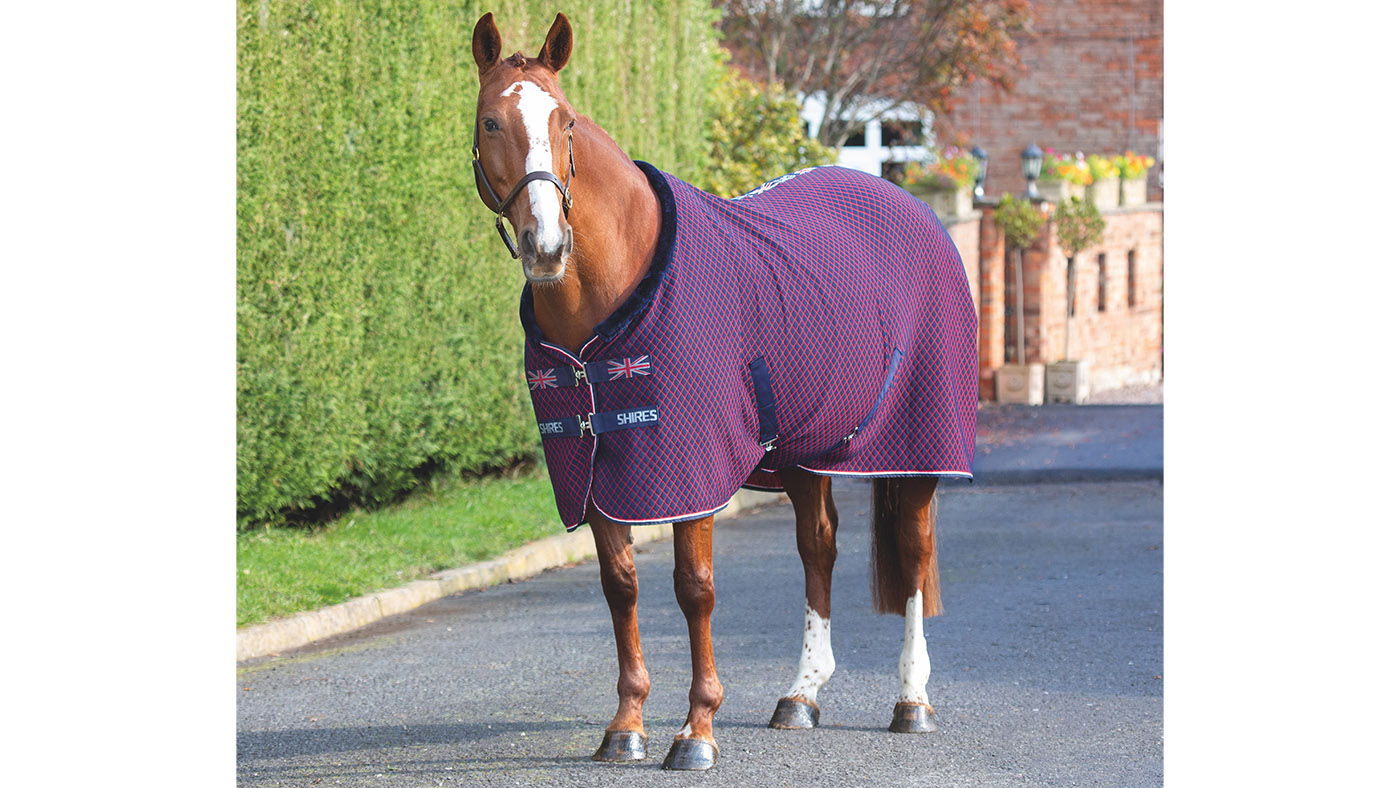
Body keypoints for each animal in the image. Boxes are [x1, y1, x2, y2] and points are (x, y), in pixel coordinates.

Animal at [470, 12, 978, 771]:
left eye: (565, 121)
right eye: (491, 121)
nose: (547, 244)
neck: (614, 297)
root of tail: (906, 202)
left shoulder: (689, 469)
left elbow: (694, 590)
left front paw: (696, 730)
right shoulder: (595, 470)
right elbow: (620, 587)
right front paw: (626, 726)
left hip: (916, 450)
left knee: (914, 555)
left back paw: (912, 702)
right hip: (803, 454)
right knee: (818, 547)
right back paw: (801, 695)